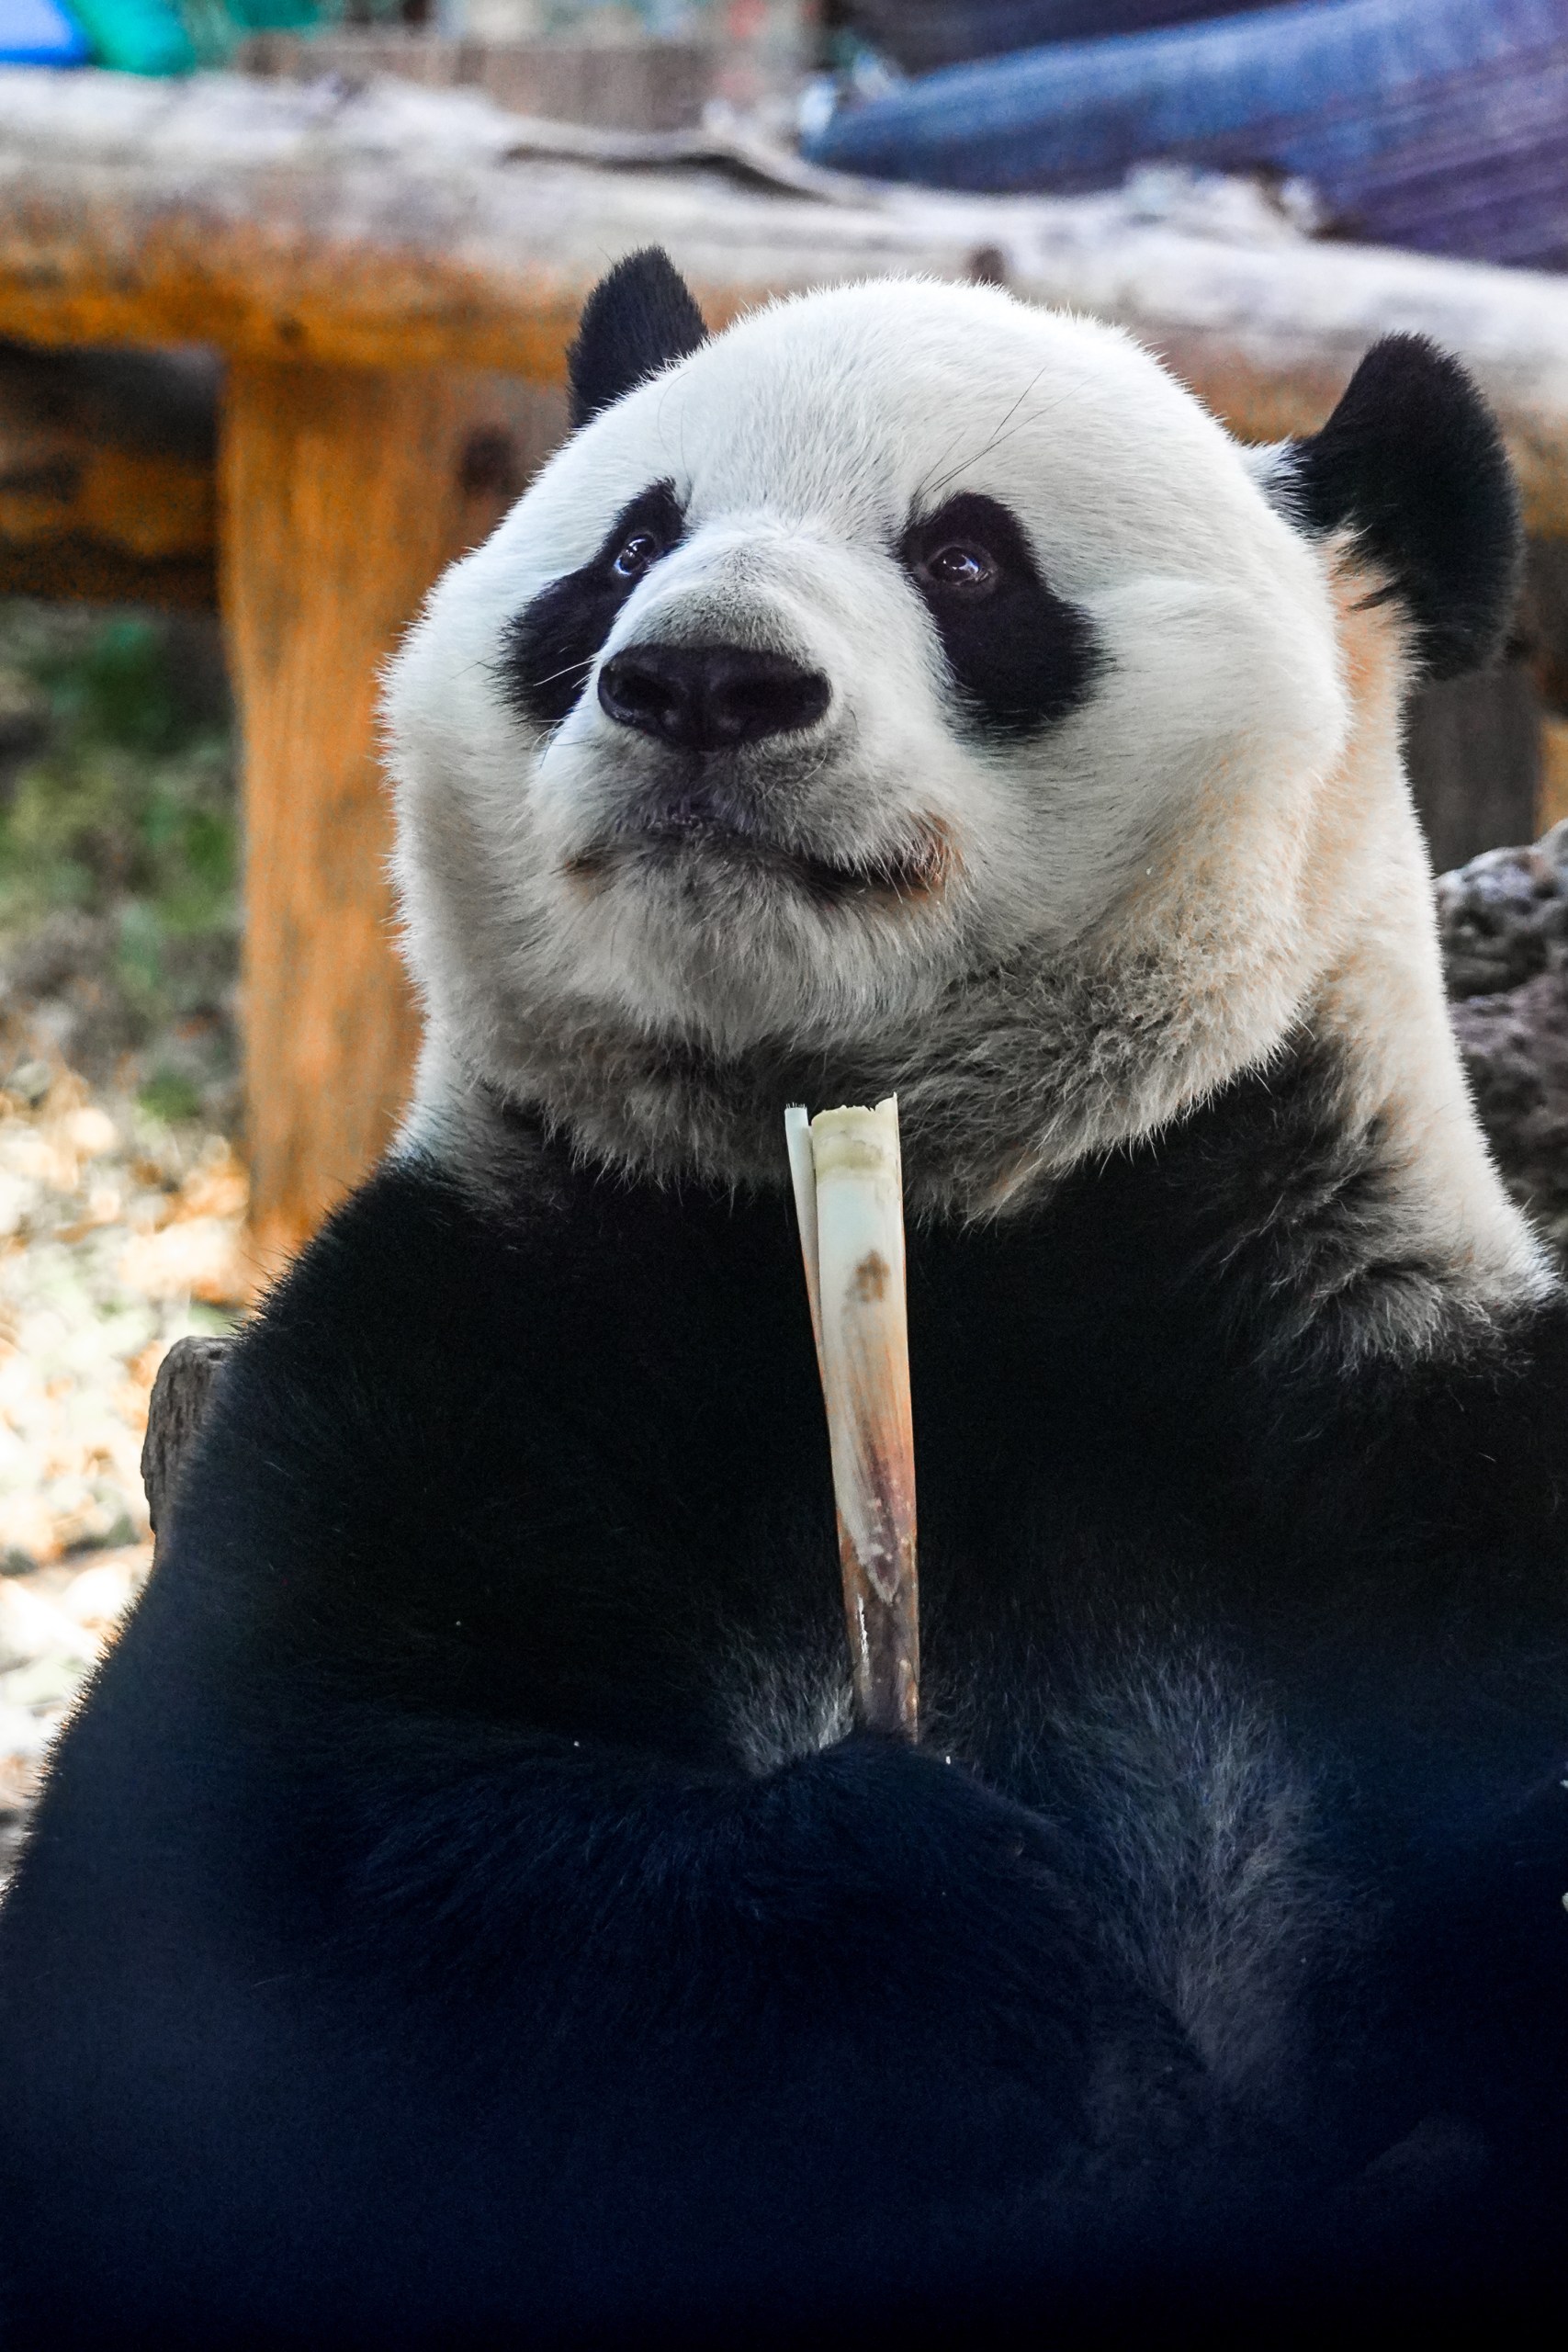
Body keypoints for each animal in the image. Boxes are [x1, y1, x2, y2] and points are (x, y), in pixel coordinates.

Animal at [2, 247, 1567, 2347]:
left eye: (969, 560)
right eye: (624, 547)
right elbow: (211, 1923)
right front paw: (919, 1918)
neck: (967, 1229)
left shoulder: (1376, 1404)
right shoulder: (477, 1336)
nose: (701, 680)